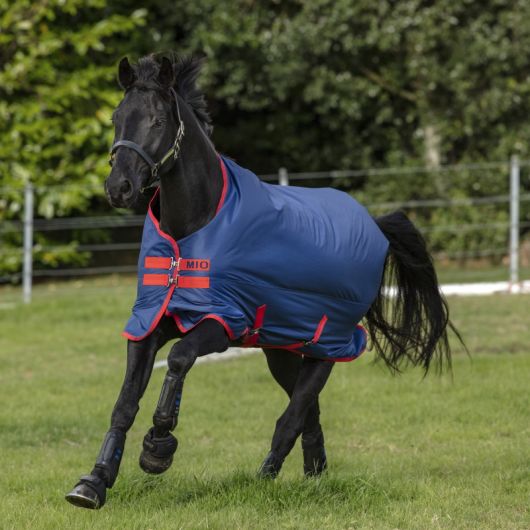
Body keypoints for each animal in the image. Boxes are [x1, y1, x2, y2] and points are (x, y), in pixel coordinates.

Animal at [66, 53, 460, 508]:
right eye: (117, 118)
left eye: (158, 120)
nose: (119, 188)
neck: (194, 229)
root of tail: (375, 226)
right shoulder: (150, 321)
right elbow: (125, 402)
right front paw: (93, 482)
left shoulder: (222, 322)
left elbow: (180, 359)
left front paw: (157, 449)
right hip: (281, 348)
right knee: (308, 411)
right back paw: (314, 475)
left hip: (328, 345)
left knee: (294, 413)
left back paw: (266, 476)